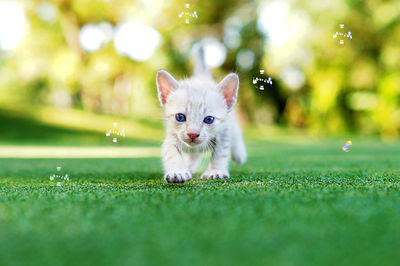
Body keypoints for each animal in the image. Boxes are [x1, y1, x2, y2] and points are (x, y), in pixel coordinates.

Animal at [156, 47, 247, 183]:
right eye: (180, 117)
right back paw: (189, 166)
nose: (192, 134)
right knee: (194, 155)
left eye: (209, 119)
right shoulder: (172, 135)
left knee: (236, 133)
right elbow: (171, 151)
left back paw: (239, 153)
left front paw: (215, 171)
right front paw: (177, 171)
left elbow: (220, 153)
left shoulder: (223, 133)